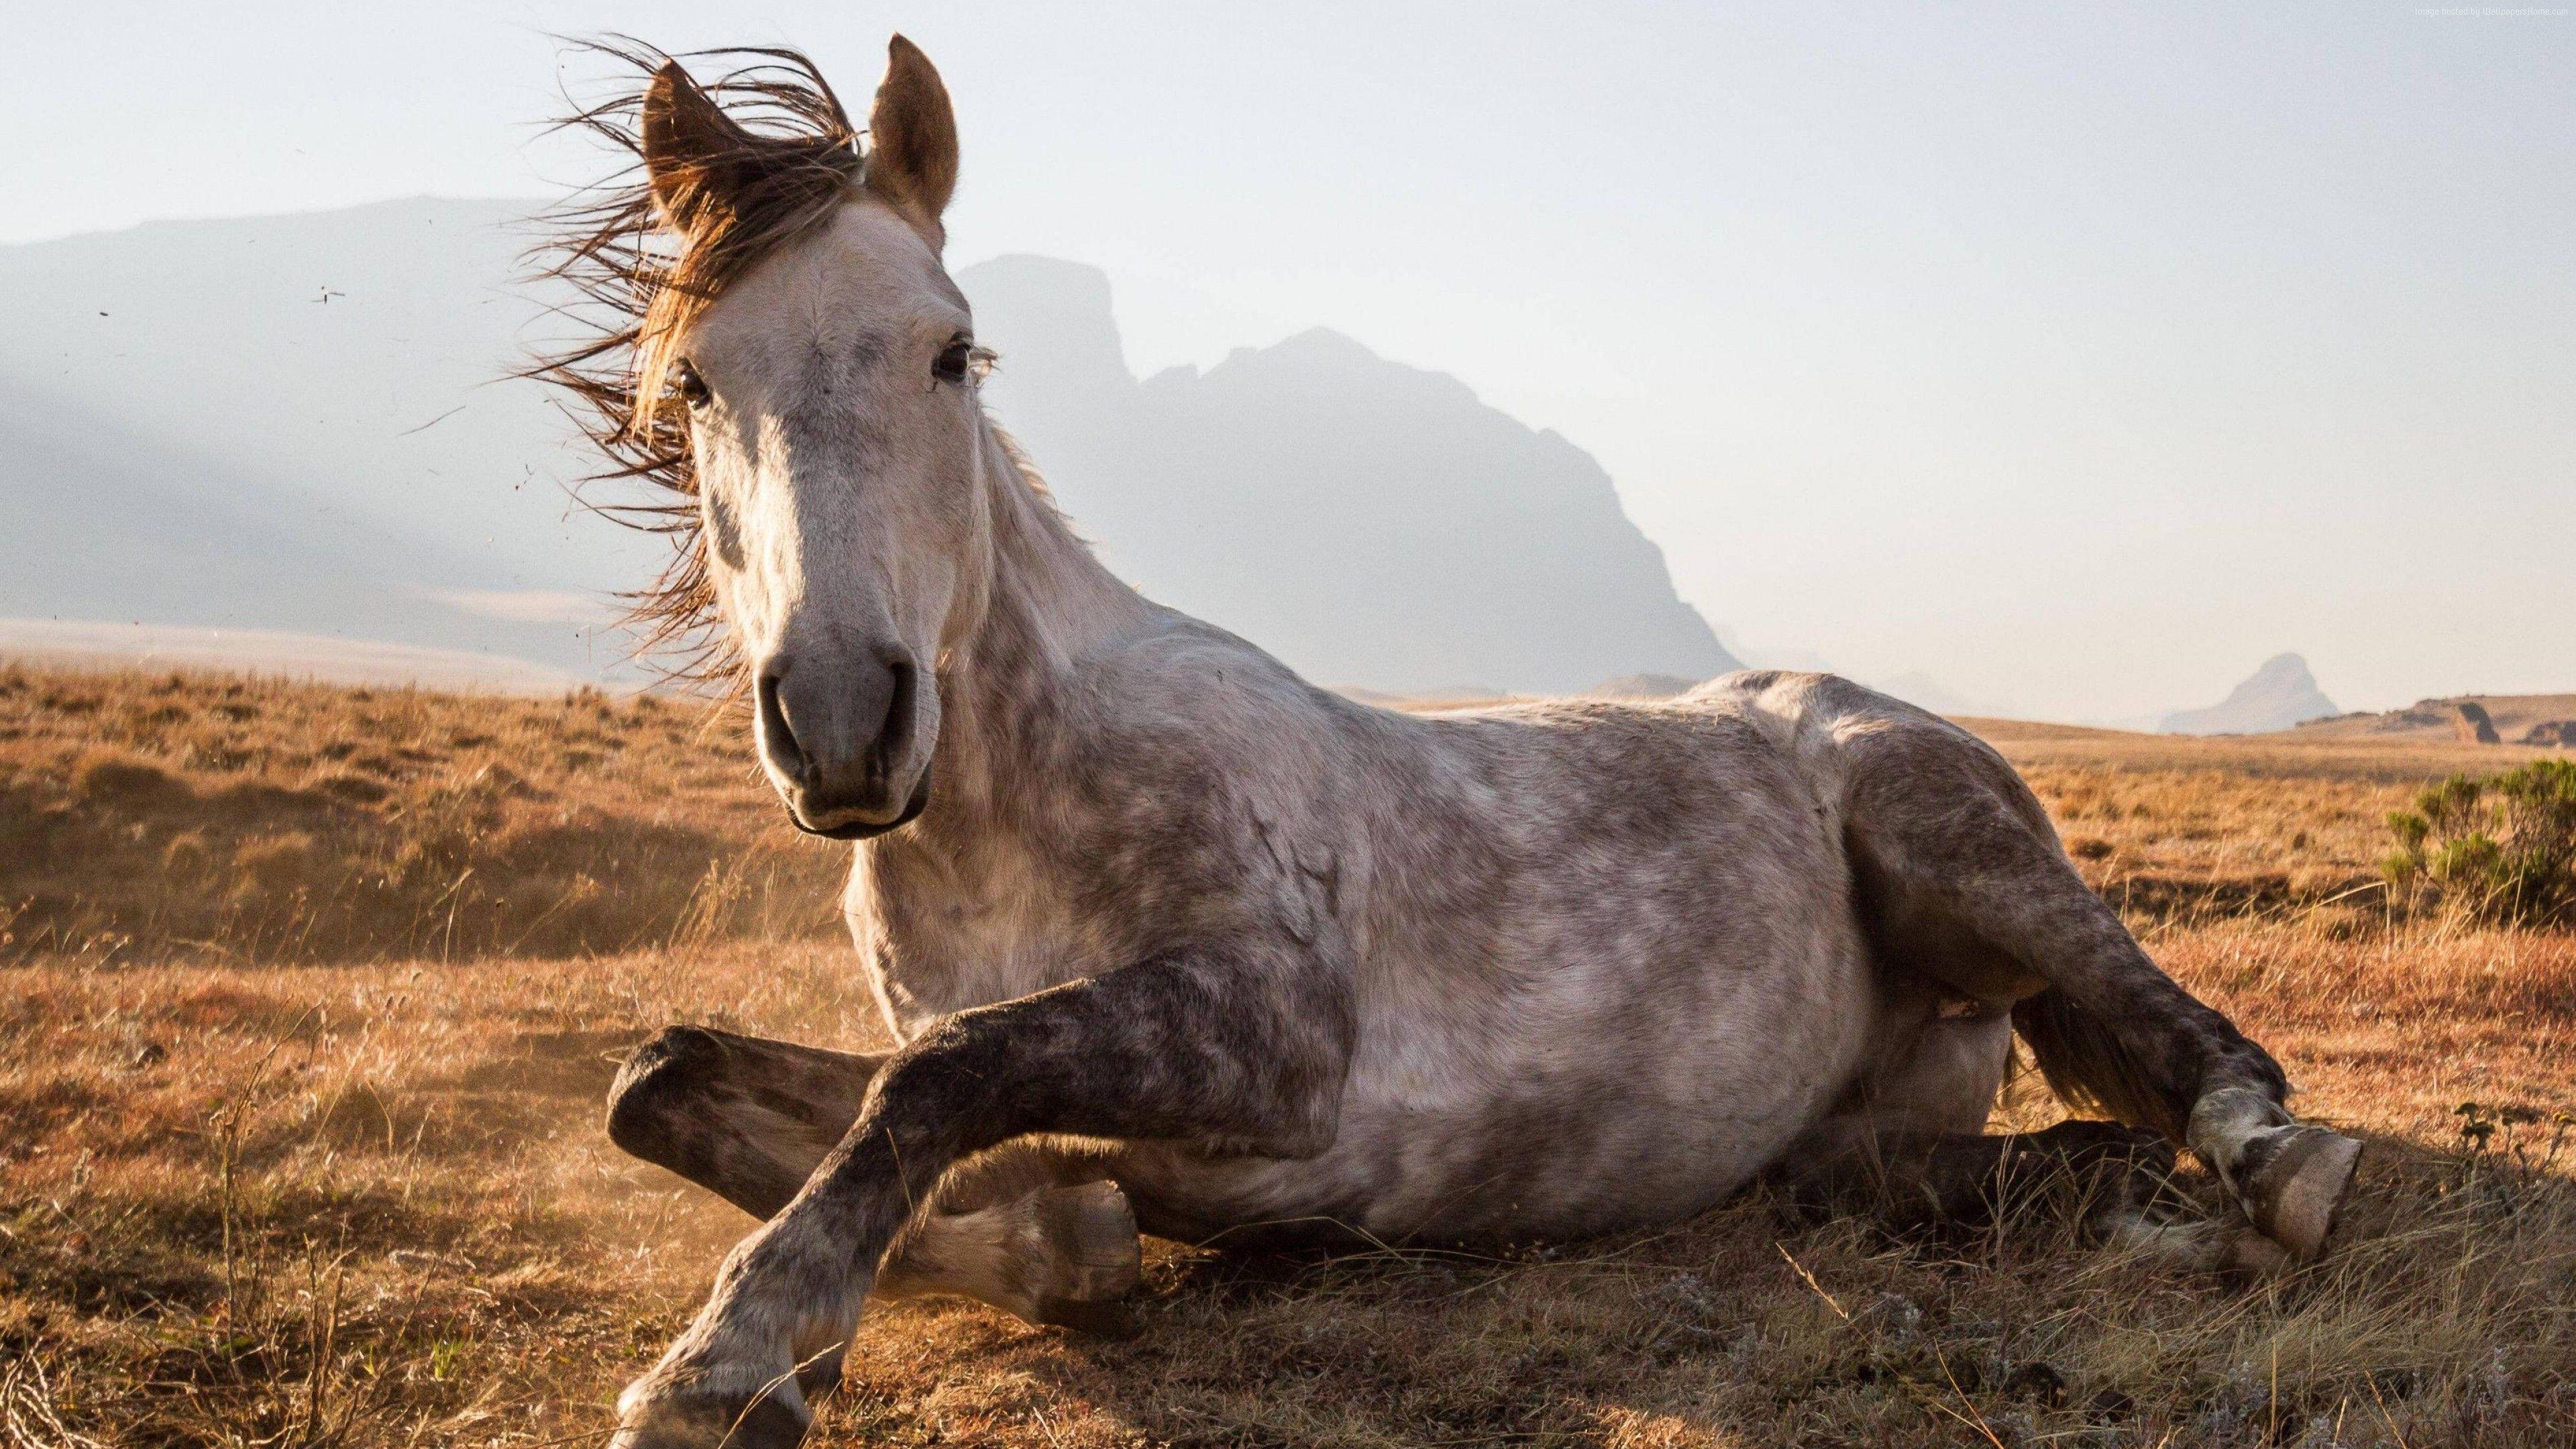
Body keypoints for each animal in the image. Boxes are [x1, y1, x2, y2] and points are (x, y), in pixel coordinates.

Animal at [532, 37, 2364, 1448]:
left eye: (950, 351)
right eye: (695, 383)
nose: (844, 717)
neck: (1012, 807)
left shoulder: (1275, 1032)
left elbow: (941, 1073)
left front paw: (728, 1353)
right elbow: (669, 1078)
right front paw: (1041, 1240)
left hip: (1948, 833)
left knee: (2190, 1035)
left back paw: (2273, 1165)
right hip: (1846, 1136)